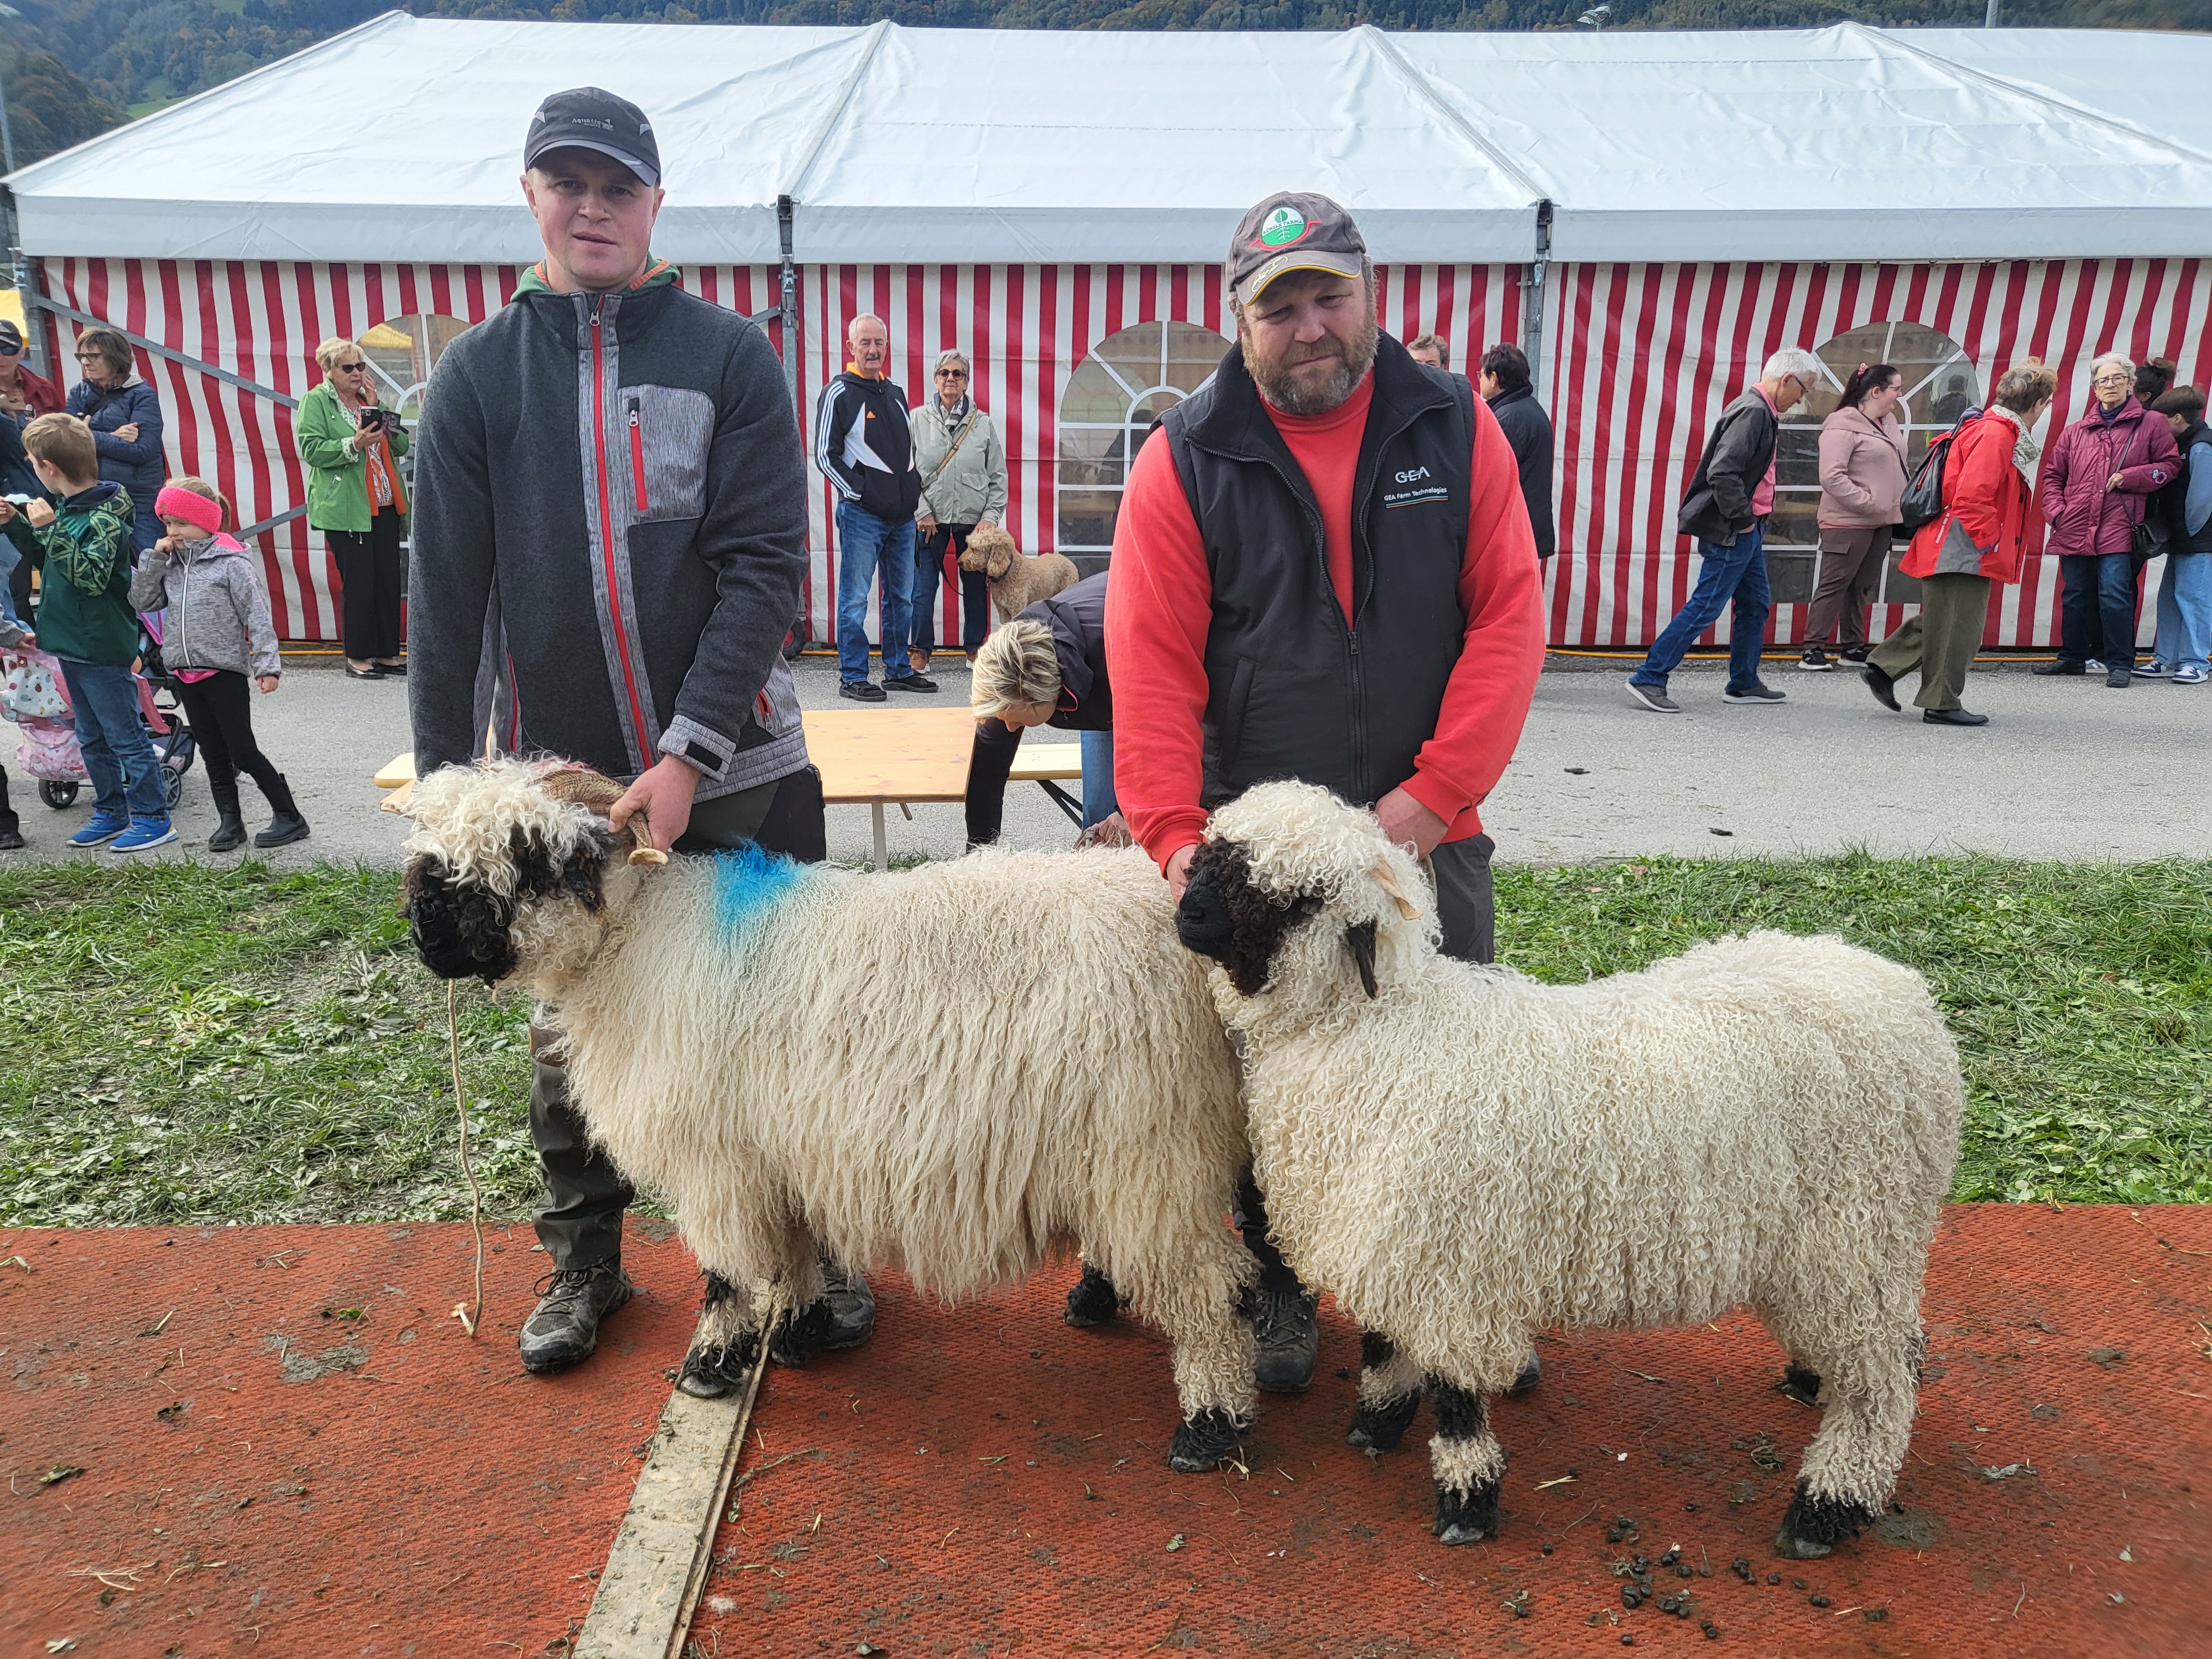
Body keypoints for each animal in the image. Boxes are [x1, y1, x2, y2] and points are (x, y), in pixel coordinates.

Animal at [399, 758, 1259, 1471]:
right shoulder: (778, 1153)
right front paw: (801, 1332)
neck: (640, 940)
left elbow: (727, 1273)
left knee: (1211, 1291)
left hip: (1152, 1144)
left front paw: (712, 1364)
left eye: (534, 855)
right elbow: (790, 1255)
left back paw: (1211, 1424)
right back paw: (1103, 1301)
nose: (425, 930)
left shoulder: (718, 1163)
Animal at [960, 524, 1079, 627]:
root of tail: (1068, 560)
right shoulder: (1003, 611)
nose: (959, 562)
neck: (1008, 571)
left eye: (974, 549)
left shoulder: (1017, 609)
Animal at [1174, 780, 1963, 1560]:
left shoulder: (1449, 1261)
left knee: (1885, 1378)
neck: (1382, 1029)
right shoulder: (1397, 1242)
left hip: (1860, 1232)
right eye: (1210, 852)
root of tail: (1905, 996)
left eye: (1298, 898)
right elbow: (1385, 1341)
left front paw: (1465, 1502)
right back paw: (1811, 1385)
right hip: (1835, 1249)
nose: (1187, 914)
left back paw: (1826, 1506)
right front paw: (1378, 1422)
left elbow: (1457, 1397)